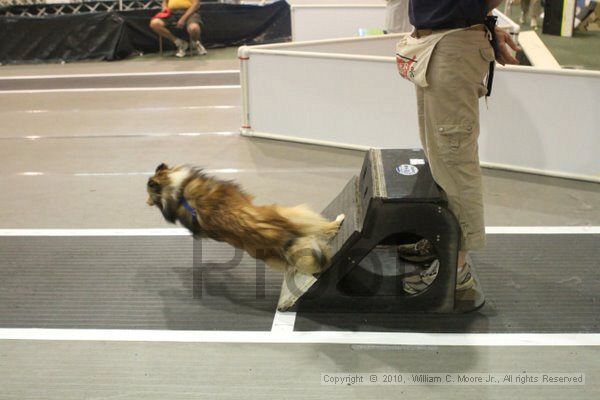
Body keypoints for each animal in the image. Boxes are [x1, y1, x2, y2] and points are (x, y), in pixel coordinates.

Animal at [147, 163, 344, 276]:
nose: (146, 202)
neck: (179, 194)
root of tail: (274, 235)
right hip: (289, 212)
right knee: (322, 228)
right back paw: (338, 219)